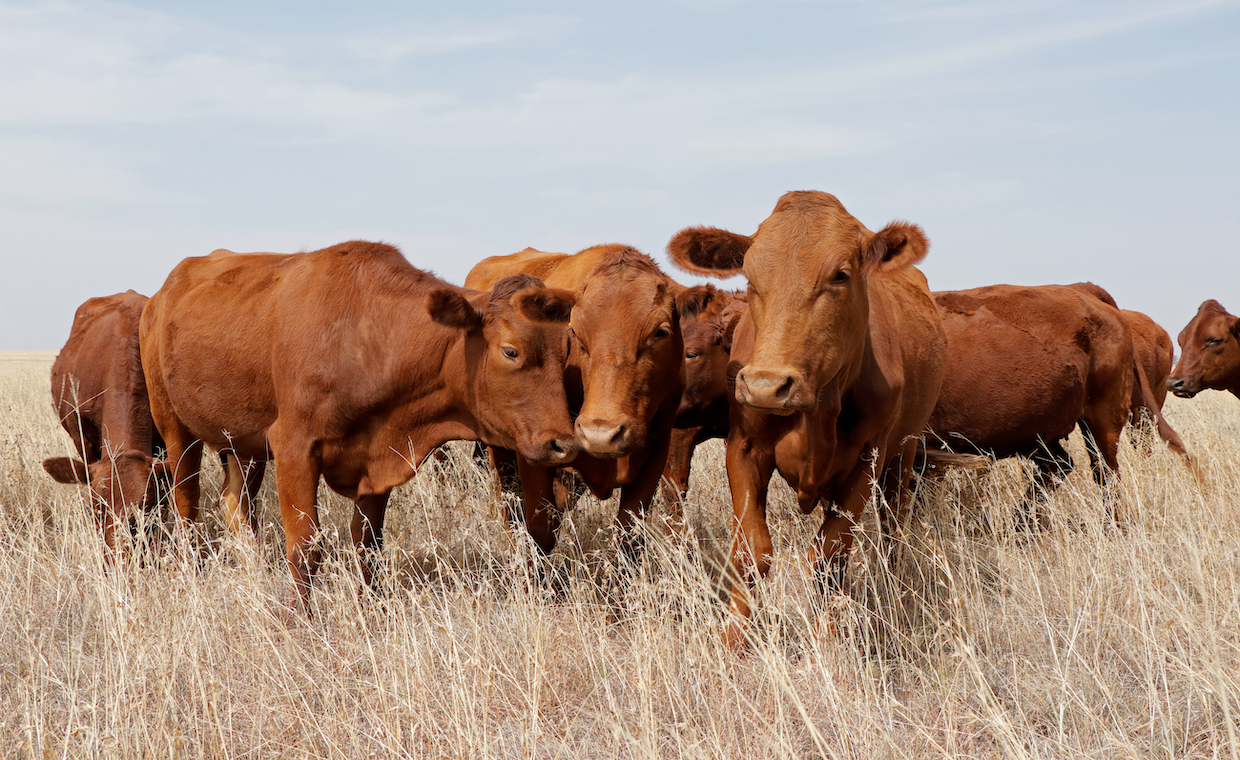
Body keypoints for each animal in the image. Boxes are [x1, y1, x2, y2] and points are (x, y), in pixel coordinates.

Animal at [140, 241, 579, 607]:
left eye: (565, 351)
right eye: (511, 351)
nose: (563, 444)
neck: (367, 340)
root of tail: (160, 294)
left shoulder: (376, 459)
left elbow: (368, 545)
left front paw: (373, 610)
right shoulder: (294, 447)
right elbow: (305, 547)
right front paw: (300, 621)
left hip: (240, 444)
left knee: (236, 504)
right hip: (174, 426)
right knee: (185, 502)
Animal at [465, 244, 712, 559]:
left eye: (661, 332)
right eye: (573, 331)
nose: (601, 434)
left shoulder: (655, 458)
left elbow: (628, 542)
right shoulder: (535, 453)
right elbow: (540, 533)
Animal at [667, 190, 947, 649]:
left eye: (841, 275)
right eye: (750, 277)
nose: (766, 386)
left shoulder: (867, 461)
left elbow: (831, 554)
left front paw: (826, 643)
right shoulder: (743, 448)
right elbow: (752, 550)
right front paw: (732, 640)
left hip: (903, 454)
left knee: (894, 526)